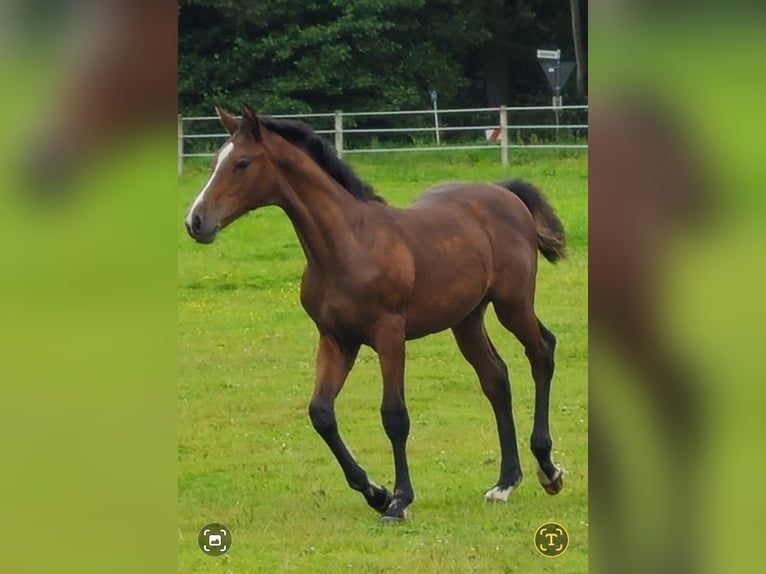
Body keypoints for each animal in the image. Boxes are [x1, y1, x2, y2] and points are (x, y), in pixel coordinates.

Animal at [184, 104, 568, 520]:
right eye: (214, 162)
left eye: (241, 163)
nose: (196, 221)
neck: (348, 244)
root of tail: (505, 193)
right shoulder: (336, 339)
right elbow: (321, 413)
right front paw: (375, 492)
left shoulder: (389, 334)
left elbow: (394, 416)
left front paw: (398, 501)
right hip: (465, 319)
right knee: (495, 377)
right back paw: (505, 483)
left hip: (512, 304)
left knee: (542, 351)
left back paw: (548, 470)